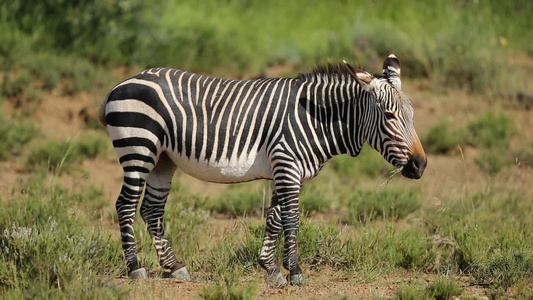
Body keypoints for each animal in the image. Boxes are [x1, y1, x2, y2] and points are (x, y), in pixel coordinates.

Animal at [97, 54, 426, 286]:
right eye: (389, 116)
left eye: (412, 115)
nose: (420, 165)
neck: (317, 118)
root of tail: (121, 83)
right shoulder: (287, 164)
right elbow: (292, 220)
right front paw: (295, 272)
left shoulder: (285, 169)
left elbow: (274, 218)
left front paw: (270, 269)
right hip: (138, 148)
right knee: (126, 205)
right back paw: (135, 268)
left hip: (163, 159)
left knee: (151, 209)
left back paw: (174, 266)